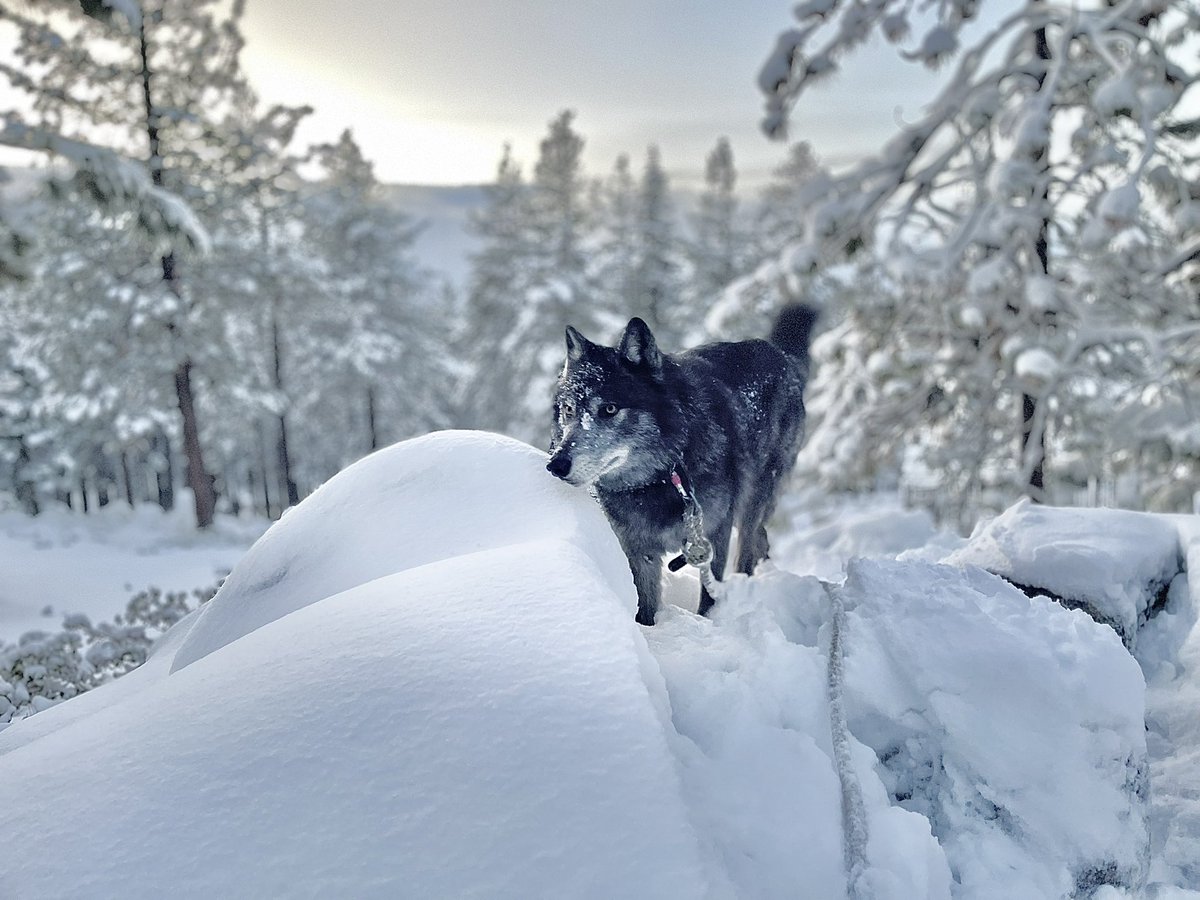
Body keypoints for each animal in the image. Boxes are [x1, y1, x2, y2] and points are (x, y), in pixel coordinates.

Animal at [546, 306, 817, 625]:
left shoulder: (714, 534)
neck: (661, 477)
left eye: (610, 409)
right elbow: (644, 604)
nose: (557, 464)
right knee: (761, 541)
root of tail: (777, 353)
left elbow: (709, 596)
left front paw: (710, 625)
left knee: (749, 548)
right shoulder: (637, 550)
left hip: (753, 501)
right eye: (568, 410)